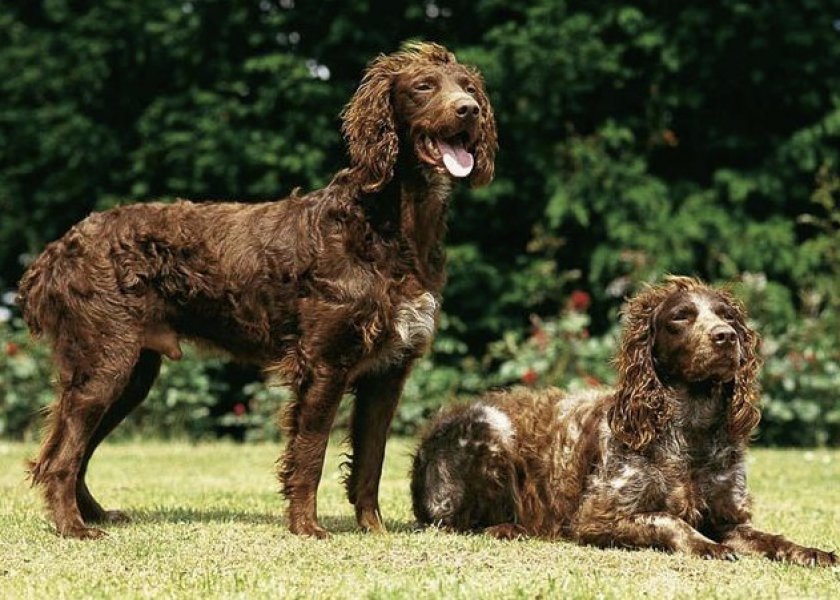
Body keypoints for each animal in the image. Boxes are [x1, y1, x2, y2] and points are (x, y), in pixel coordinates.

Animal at [18, 42, 498, 540]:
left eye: (467, 87)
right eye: (423, 86)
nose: (469, 110)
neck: (387, 223)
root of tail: (57, 251)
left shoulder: (388, 371)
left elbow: (371, 461)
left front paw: (374, 531)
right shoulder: (323, 363)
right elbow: (310, 454)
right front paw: (306, 527)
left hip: (131, 375)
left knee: (73, 452)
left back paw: (92, 515)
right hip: (106, 363)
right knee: (61, 457)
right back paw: (74, 528)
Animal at [410, 278, 836, 568]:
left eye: (727, 316)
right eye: (681, 317)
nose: (725, 337)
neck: (690, 429)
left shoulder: (728, 516)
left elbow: (772, 538)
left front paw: (809, 551)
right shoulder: (596, 516)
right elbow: (669, 519)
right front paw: (706, 545)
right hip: (490, 426)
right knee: (458, 521)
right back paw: (507, 528)